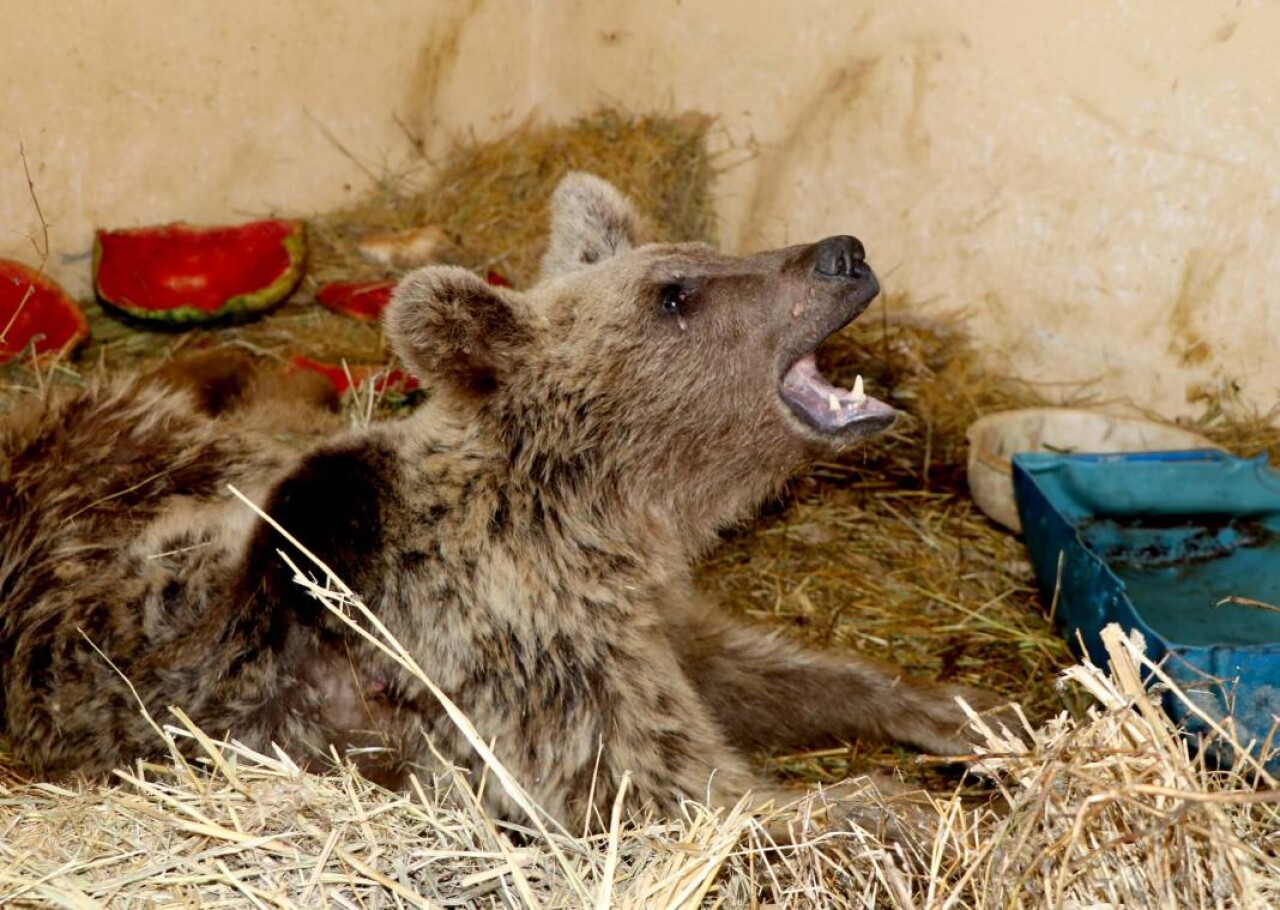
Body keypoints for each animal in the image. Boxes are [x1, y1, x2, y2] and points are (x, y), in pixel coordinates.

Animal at [0, 171, 998, 824]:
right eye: (676, 294)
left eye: (709, 252)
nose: (843, 253)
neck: (598, 518)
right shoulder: (523, 664)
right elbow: (685, 792)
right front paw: (889, 808)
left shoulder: (643, 614)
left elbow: (766, 670)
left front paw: (959, 712)